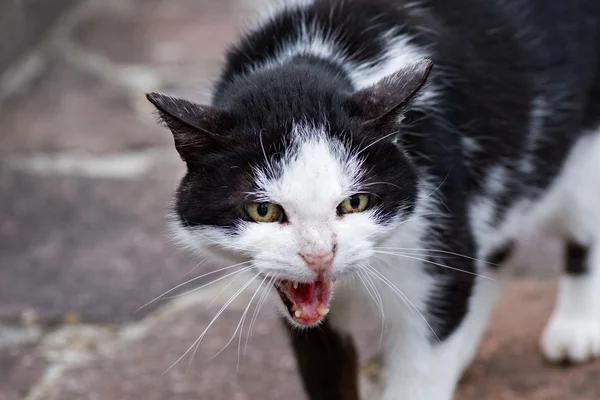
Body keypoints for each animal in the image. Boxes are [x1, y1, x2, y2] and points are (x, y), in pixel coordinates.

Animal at [145, 0, 600, 398]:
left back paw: (575, 328)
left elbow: (429, 341)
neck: (309, 57)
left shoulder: (433, 225)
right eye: (263, 210)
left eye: (355, 203)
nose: (319, 256)